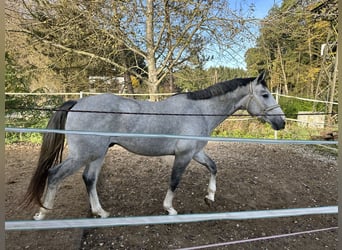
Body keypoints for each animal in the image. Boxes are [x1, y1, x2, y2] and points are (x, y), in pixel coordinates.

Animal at [23, 70, 286, 219]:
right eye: (265, 95)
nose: (281, 122)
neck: (199, 111)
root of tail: (77, 103)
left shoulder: (196, 152)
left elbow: (213, 167)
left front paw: (210, 196)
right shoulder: (184, 155)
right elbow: (174, 181)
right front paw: (169, 209)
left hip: (97, 154)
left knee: (89, 179)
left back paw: (100, 212)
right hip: (83, 154)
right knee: (54, 175)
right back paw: (41, 214)